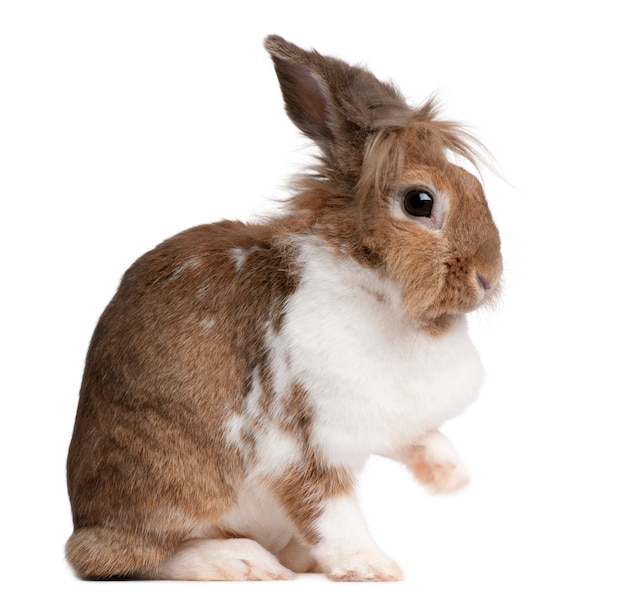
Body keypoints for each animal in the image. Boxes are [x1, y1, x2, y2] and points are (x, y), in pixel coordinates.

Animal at [64, 34, 502, 580]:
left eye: (475, 185)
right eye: (420, 202)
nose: (489, 277)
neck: (374, 287)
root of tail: (84, 521)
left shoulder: (383, 419)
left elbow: (420, 437)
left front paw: (449, 476)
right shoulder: (296, 443)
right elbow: (331, 512)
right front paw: (373, 568)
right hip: (170, 486)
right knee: (136, 558)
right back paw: (244, 563)